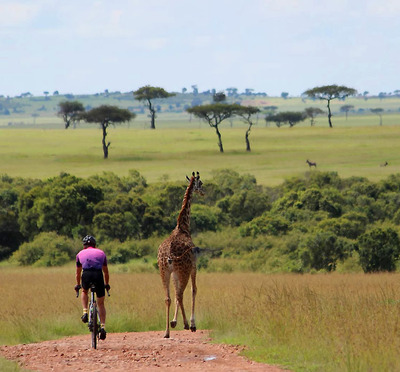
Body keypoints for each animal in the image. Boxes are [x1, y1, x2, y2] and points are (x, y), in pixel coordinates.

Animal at [156, 172, 205, 340]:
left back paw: (166, 332)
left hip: (164, 271)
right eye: (201, 184)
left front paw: (174, 321)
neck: (183, 227)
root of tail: (168, 255)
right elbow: (194, 289)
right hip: (182, 270)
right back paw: (186, 325)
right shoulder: (194, 266)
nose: (203, 193)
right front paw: (191, 323)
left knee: (169, 297)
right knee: (180, 294)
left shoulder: (174, 272)